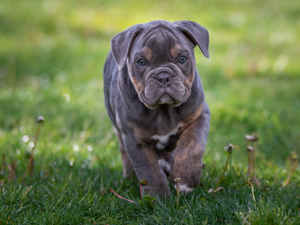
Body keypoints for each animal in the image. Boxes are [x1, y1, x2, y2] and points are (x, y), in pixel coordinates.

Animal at [104, 20, 210, 197]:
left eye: (182, 58)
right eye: (141, 62)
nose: (163, 77)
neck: (164, 110)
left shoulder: (200, 116)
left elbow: (192, 145)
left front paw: (185, 178)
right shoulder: (135, 141)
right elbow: (149, 170)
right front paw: (158, 197)